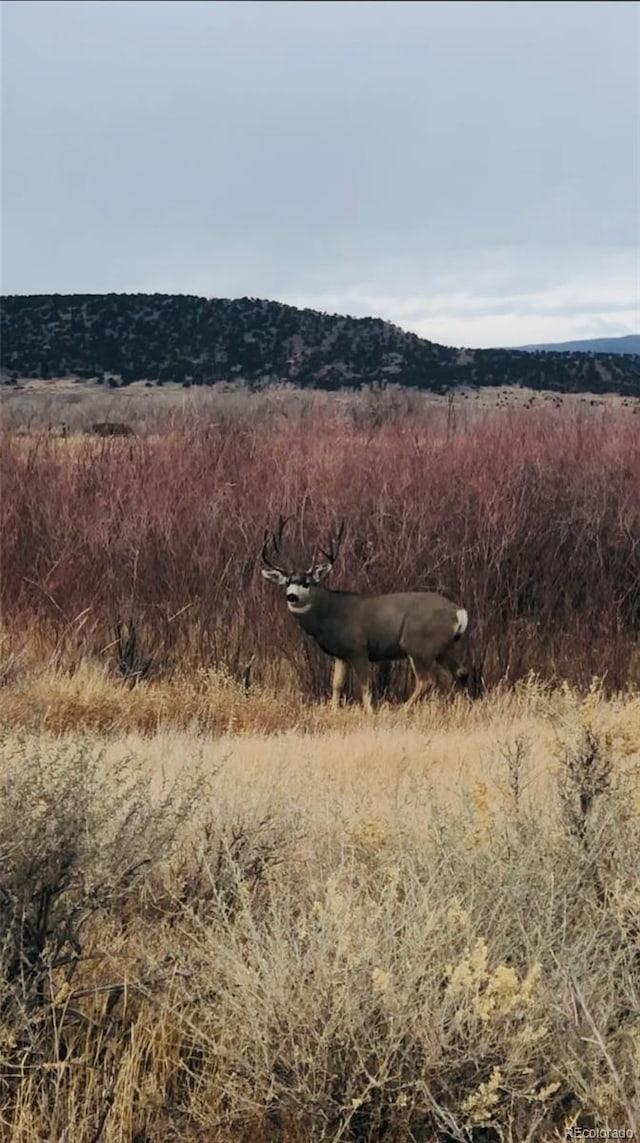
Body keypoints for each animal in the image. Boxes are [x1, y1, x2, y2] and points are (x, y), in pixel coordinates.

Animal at [260, 521, 470, 713]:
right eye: (288, 582)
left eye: (307, 583)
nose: (291, 596)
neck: (329, 613)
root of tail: (458, 612)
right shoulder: (341, 654)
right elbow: (337, 684)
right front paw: (333, 711)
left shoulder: (359, 647)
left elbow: (364, 685)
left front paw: (369, 712)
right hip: (444, 647)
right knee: (460, 673)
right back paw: (462, 708)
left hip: (419, 645)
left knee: (426, 681)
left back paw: (402, 710)